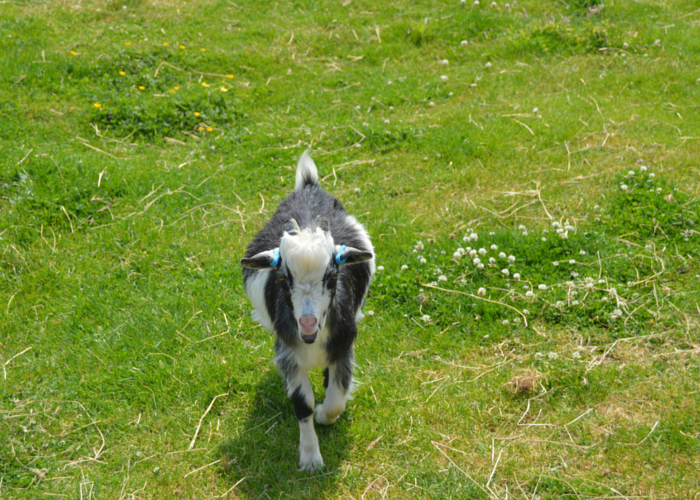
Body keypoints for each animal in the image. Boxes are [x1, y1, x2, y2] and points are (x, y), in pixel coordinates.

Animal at [240, 152, 375, 471]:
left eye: (332, 275)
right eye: (282, 278)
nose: (309, 323)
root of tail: (309, 187)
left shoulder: (344, 345)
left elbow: (337, 398)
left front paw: (325, 414)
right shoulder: (287, 351)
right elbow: (303, 403)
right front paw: (311, 458)